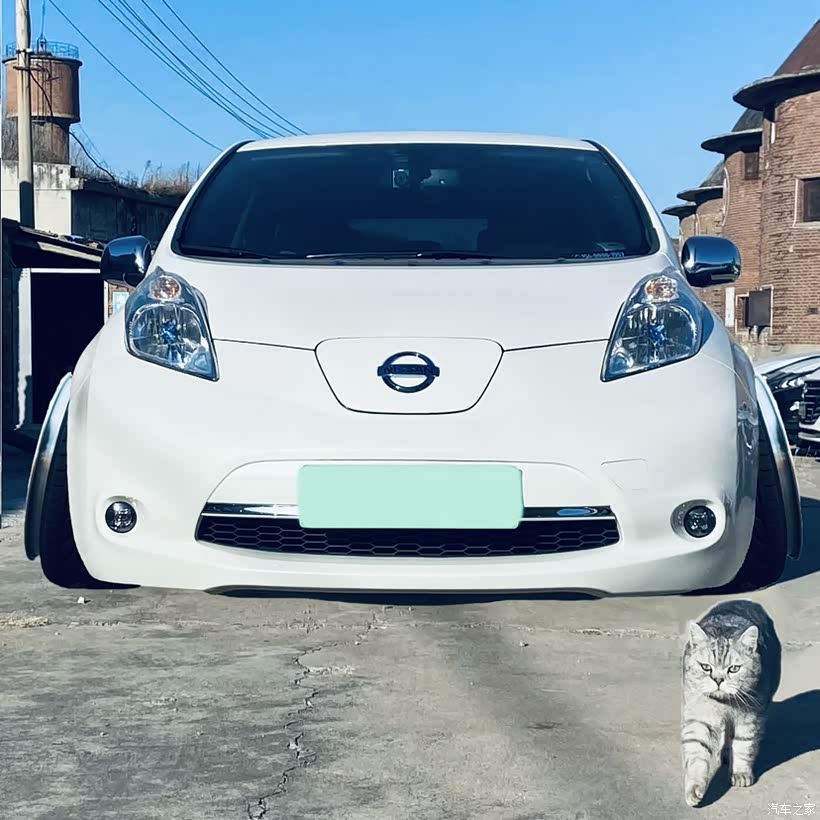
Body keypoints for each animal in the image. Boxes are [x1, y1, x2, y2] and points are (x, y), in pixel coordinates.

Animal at [681, 599, 781, 807]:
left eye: (733, 669)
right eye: (706, 667)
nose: (718, 680)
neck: (724, 704)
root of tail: (747, 600)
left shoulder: (749, 718)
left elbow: (743, 745)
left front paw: (740, 772)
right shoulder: (698, 717)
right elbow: (696, 753)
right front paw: (694, 788)